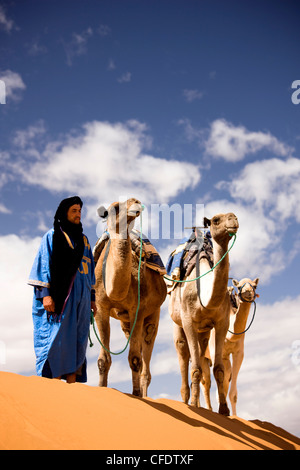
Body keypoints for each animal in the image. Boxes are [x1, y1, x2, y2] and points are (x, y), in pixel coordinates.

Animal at [94, 197, 166, 396]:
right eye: (115, 208)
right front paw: (101, 388)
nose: (136, 201)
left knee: (146, 360)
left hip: (152, 317)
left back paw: (144, 394)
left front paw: (136, 395)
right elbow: (103, 359)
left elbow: (134, 359)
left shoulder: (138, 311)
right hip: (125, 324)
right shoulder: (100, 308)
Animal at [169, 213, 239, 414]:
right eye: (216, 220)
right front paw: (193, 404)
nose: (233, 218)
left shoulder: (221, 322)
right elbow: (195, 368)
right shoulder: (188, 321)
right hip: (177, 322)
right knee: (183, 351)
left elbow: (219, 369)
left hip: (204, 331)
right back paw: (186, 401)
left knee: (201, 354)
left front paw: (223, 410)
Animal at [221, 276, 258, 414]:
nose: (247, 291)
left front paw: (234, 416)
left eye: (255, 285)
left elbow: (233, 394)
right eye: (238, 286)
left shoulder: (239, 353)